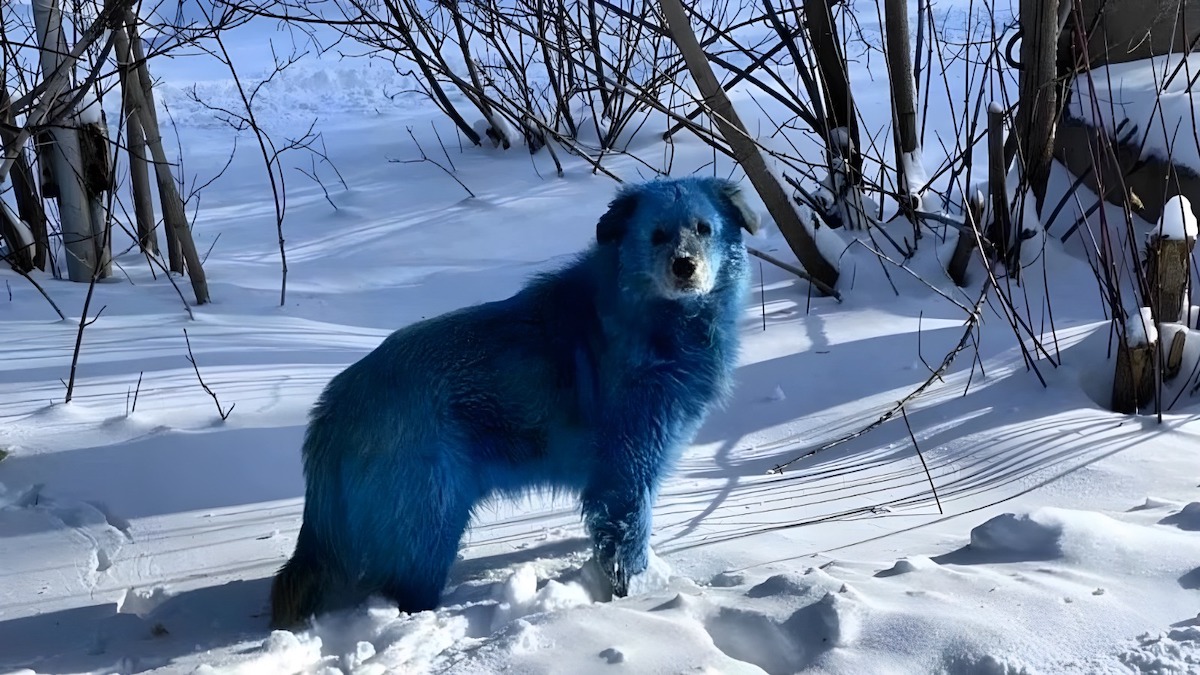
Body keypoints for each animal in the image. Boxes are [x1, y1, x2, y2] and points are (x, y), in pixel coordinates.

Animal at [272, 172, 758, 624]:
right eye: (657, 234)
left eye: (704, 229)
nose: (684, 267)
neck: (646, 316)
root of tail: (335, 407)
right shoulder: (627, 473)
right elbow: (627, 545)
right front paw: (637, 600)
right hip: (432, 523)